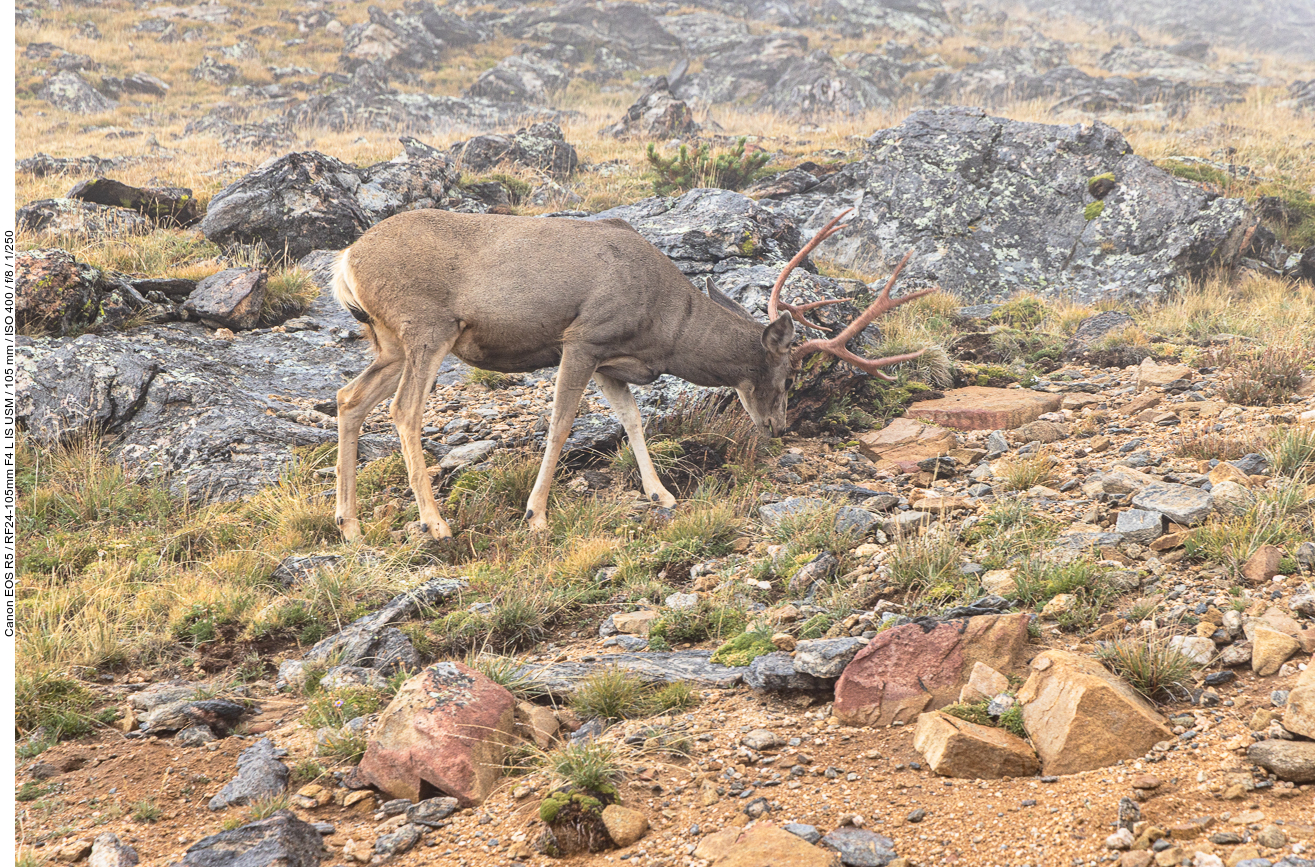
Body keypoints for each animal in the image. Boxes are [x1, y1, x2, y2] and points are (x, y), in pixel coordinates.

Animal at [334, 206, 931, 539]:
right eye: (786, 377)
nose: (778, 427)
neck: (664, 327)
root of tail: (346, 261)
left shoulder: (611, 362)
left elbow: (633, 421)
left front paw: (661, 494)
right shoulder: (583, 337)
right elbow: (561, 425)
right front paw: (537, 514)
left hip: (388, 340)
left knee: (349, 398)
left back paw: (350, 524)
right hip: (425, 324)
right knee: (402, 410)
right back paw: (434, 523)